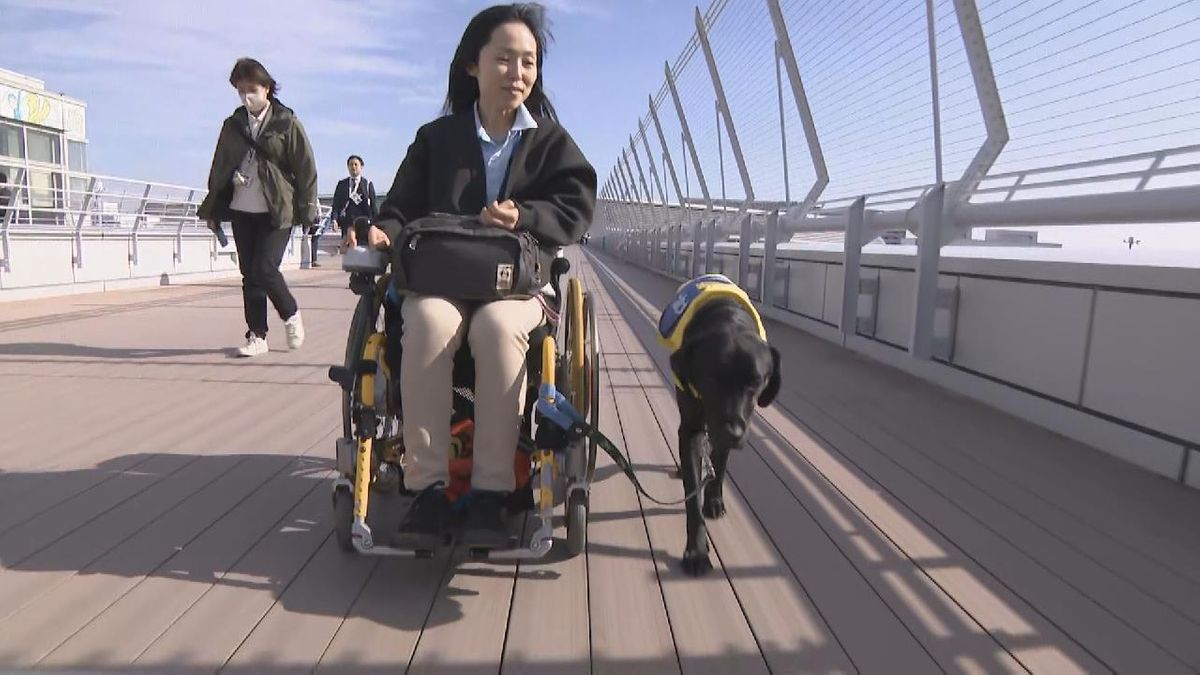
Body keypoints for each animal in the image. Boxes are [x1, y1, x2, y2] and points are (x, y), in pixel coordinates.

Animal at [667, 296, 777, 569]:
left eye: (755, 382)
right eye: (711, 378)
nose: (733, 433)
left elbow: (720, 466)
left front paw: (714, 500)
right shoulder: (692, 429)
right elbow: (692, 498)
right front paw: (696, 551)